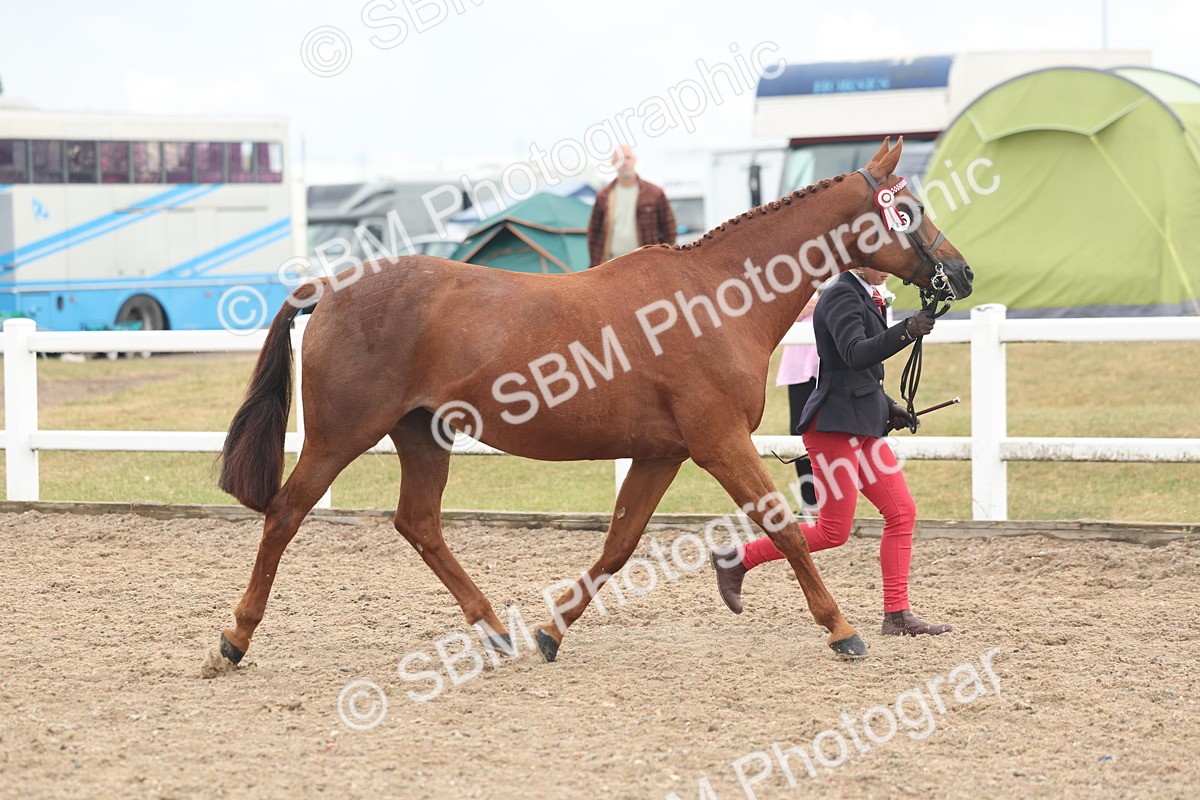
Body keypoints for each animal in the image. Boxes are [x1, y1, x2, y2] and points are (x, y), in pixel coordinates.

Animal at [207, 137, 973, 674]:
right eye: (908, 208)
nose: (960, 273)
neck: (717, 297)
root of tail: (330, 286)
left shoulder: (663, 453)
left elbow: (619, 543)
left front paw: (551, 633)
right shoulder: (719, 442)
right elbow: (783, 528)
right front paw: (843, 630)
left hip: (422, 434)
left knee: (419, 524)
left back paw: (496, 631)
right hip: (341, 435)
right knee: (286, 514)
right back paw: (233, 640)